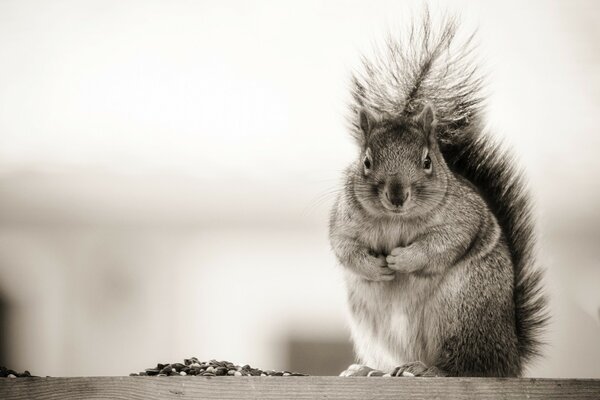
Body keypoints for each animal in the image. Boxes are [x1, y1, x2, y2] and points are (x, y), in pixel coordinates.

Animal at [328, 14, 548, 378]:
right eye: (367, 161)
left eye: (427, 161)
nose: (397, 195)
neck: (397, 220)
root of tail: (511, 355)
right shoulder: (344, 220)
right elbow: (345, 248)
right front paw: (376, 267)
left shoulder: (463, 217)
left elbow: (444, 243)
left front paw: (402, 259)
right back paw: (371, 370)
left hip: (462, 311)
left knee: (470, 367)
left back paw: (430, 370)